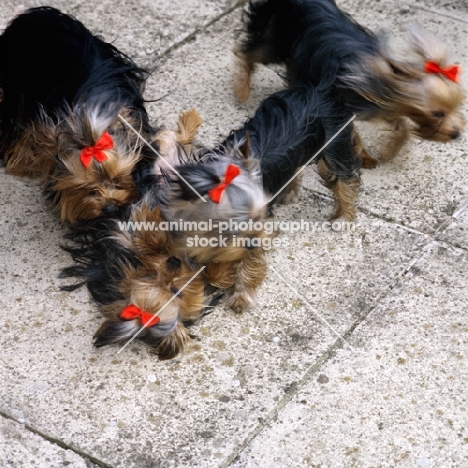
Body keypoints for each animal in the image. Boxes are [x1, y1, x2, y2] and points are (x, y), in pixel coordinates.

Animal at [234, 0, 464, 165]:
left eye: (456, 107)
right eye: (437, 113)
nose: (457, 134)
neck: (386, 79)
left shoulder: (381, 104)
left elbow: (402, 127)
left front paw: (390, 152)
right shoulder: (342, 107)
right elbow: (353, 134)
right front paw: (367, 157)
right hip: (276, 38)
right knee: (248, 54)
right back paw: (242, 90)